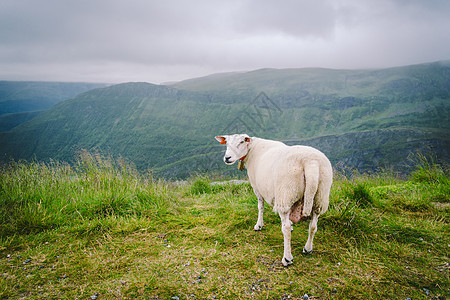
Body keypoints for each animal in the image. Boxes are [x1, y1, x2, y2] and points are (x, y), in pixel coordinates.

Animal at [216, 135, 332, 266]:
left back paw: (287, 258)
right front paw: (291, 223)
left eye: (241, 142)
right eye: (226, 143)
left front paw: (259, 225)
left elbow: (260, 206)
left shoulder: (257, 187)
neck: (251, 149)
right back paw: (307, 249)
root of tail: (310, 162)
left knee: (286, 229)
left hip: (285, 192)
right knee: (313, 225)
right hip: (320, 197)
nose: (227, 158)